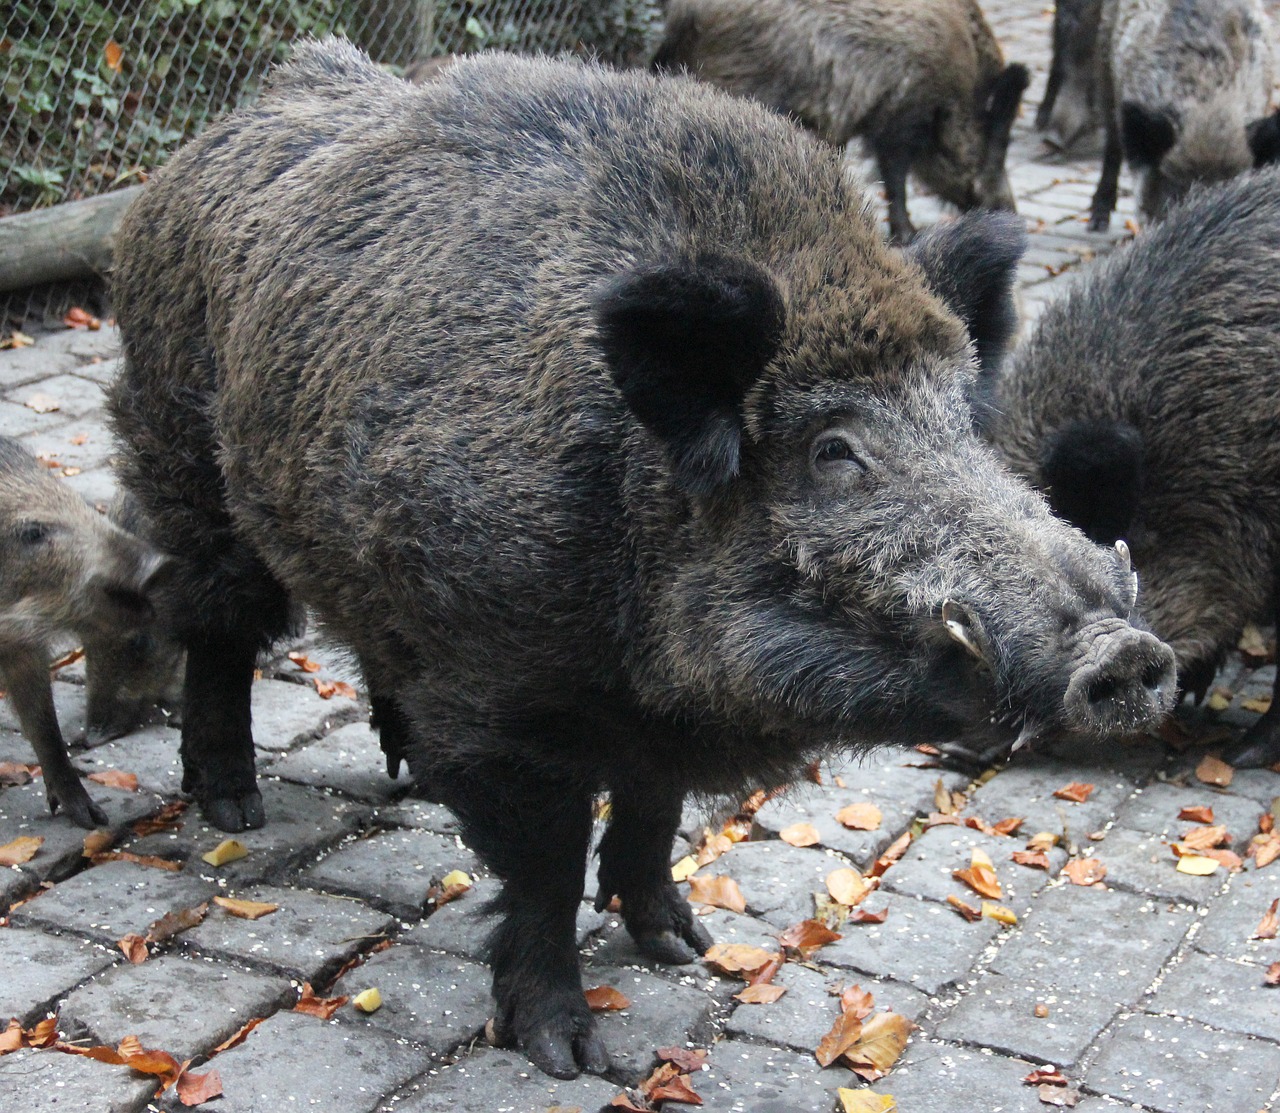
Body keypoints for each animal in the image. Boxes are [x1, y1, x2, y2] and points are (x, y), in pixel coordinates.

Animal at [0, 436, 167, 827]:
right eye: (32, 532)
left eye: (81, 504)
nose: (159, 565)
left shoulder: (23, 647)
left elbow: (45, 724)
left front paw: (93, 818)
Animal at [108, 41, 1175, 1078]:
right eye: (834, 449)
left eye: (961, 421)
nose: (1128, 651)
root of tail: (200, 151)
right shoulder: (500, 685)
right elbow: (546, 861)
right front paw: (573, 1054)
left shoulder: (658, 709)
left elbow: (655, 805)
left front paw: (685, 945)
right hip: (182, 457)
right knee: (217, 624)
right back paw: (235, 809)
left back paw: (401, 773)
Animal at [652, 0, 1030, 243]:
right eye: (995, 139)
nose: (1012, 212)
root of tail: (679, 19)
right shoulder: (901, 112)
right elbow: (894, 176)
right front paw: (909, 235)